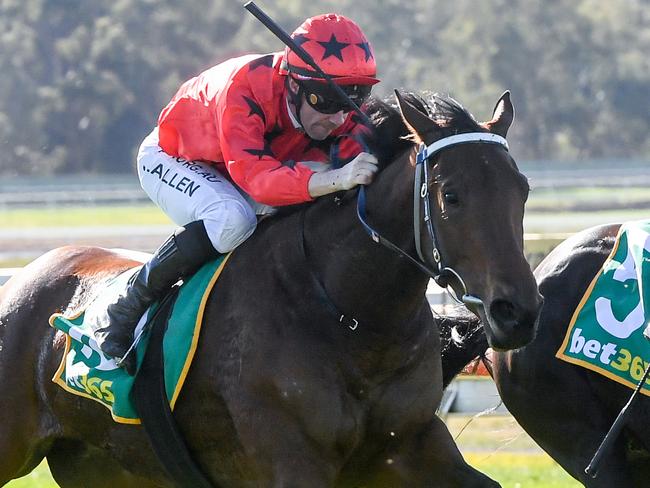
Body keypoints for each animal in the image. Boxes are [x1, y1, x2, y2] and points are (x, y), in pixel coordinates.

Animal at [0, 89, 540, 486]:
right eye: (451, 195)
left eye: (523, 189)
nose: (517, 312)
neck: (350, 316)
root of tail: (25, 276)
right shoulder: (291, 460)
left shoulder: (411, 443)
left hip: (101, 463)